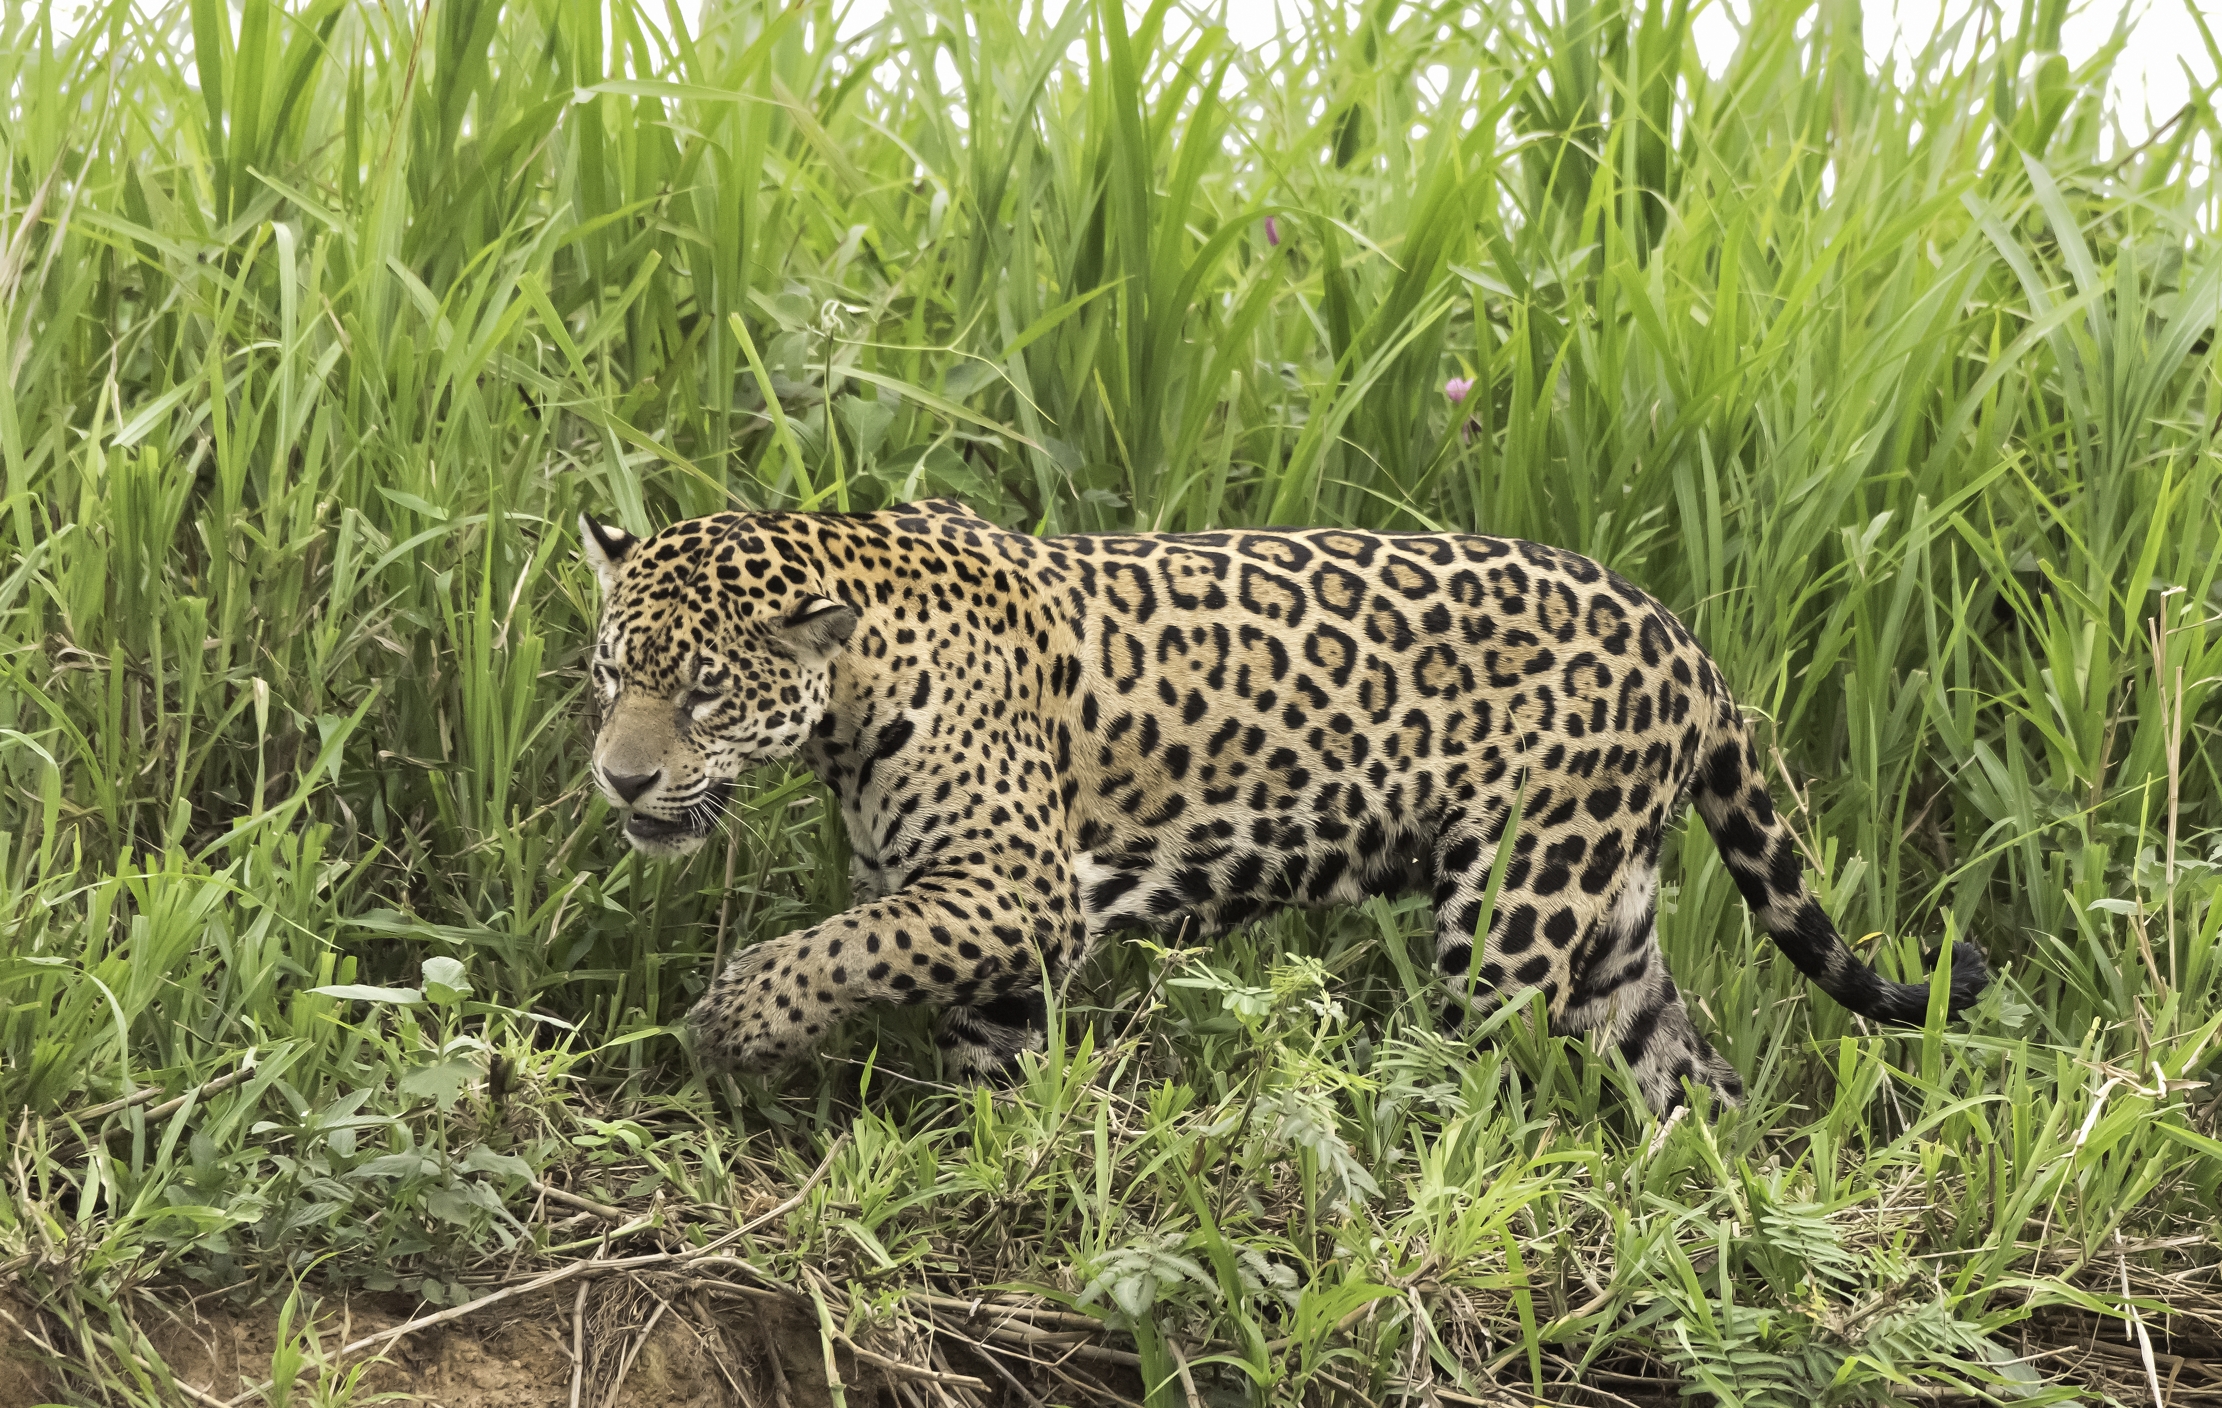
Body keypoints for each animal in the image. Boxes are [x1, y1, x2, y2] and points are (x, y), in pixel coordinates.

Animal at [579, 497, 1988, 1114]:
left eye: (703, 693)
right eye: (609, 676)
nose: (621, 776)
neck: (851, 693)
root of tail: (1686, 642)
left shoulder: (1013, 888)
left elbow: (842, 944)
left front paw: (736, 1021)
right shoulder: (986, 924)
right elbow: (969, 1034)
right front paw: (974, 1150)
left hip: (1514, 905)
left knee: (1474, 1077)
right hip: (1611, 922)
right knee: (1688, 1071)